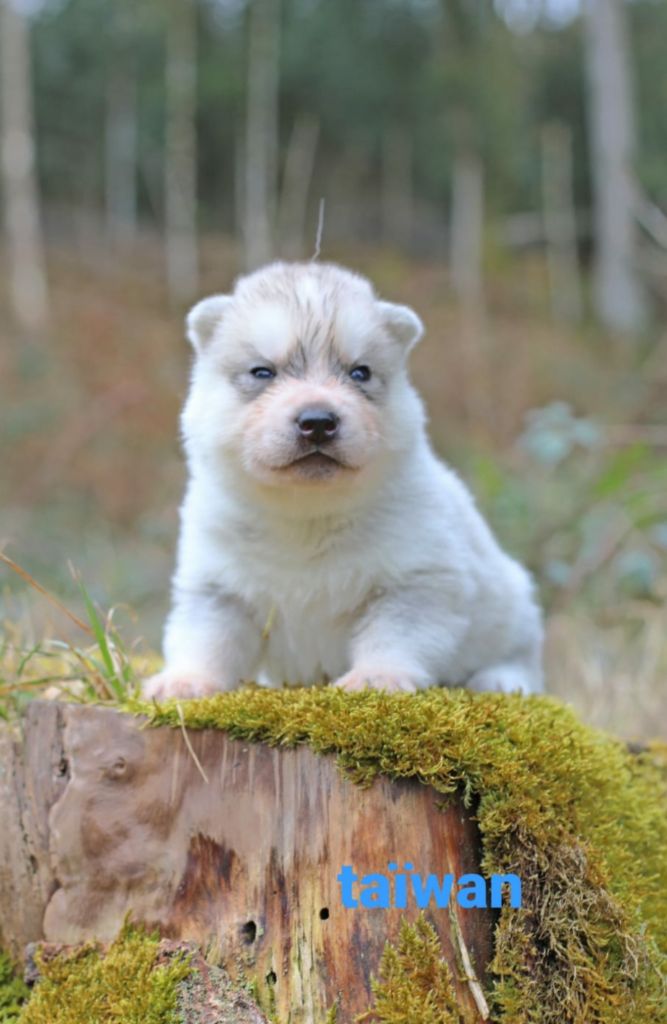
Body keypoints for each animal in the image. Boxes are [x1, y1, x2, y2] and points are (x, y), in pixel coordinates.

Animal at [144, 260, 540, 700]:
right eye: (262, 371)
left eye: (360, 372)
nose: (317, 421)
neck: (306, 516)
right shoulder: (216, 583)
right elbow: (206, 637)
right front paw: (184, 681)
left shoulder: (417, 578)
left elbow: (394, 635)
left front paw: (378, 677)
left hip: (514, 600)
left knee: (521, 654)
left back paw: (502, 680)